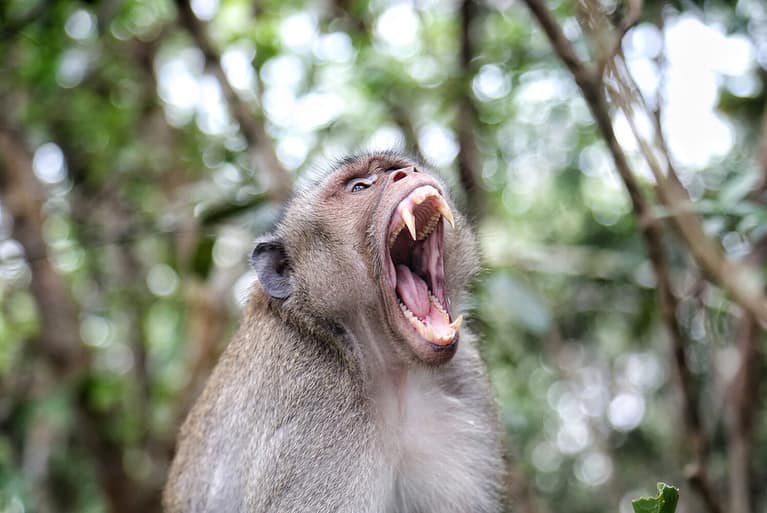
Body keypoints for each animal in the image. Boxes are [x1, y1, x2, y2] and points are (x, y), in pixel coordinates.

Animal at [163, 152, 505, 513]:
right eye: (359, 187)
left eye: (400, 167)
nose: (406, 173)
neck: (388, 369)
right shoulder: (314, 404)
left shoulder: (465, 378)